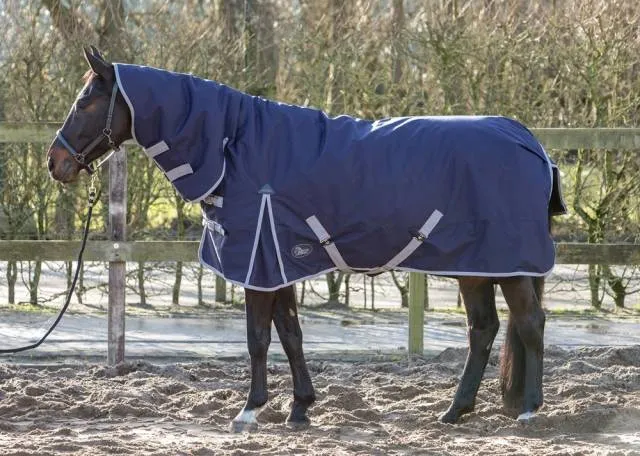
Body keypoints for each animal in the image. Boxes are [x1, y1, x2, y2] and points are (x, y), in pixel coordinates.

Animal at [47, 47, 566, 430]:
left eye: (84, 102)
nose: (56, 163)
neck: (235, 147)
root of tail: (530, 142)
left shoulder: (259, 262)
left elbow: (258, 337)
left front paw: (250, 410)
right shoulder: (277, 262)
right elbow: (290, 334)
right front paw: (300, 408)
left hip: (509, 266)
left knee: (530, 324)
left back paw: (528, 410)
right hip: (474, 266)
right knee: (484, 330)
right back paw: (454, 412)